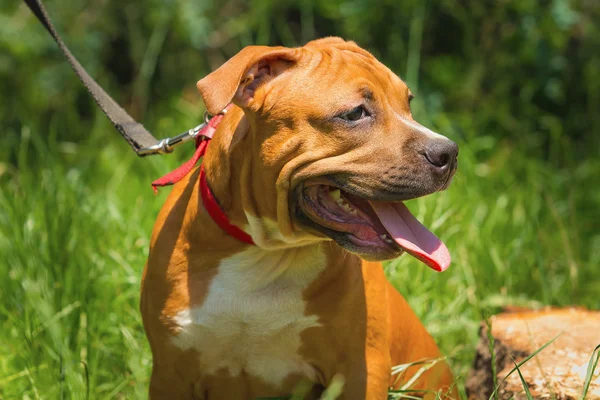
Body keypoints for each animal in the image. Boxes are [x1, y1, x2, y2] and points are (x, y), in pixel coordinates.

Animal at [142, 36, 460, 396]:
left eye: (408, 103)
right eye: (355, 113)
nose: (449, 152)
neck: (266, 252)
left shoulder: (360, 370)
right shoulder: (171, 373)